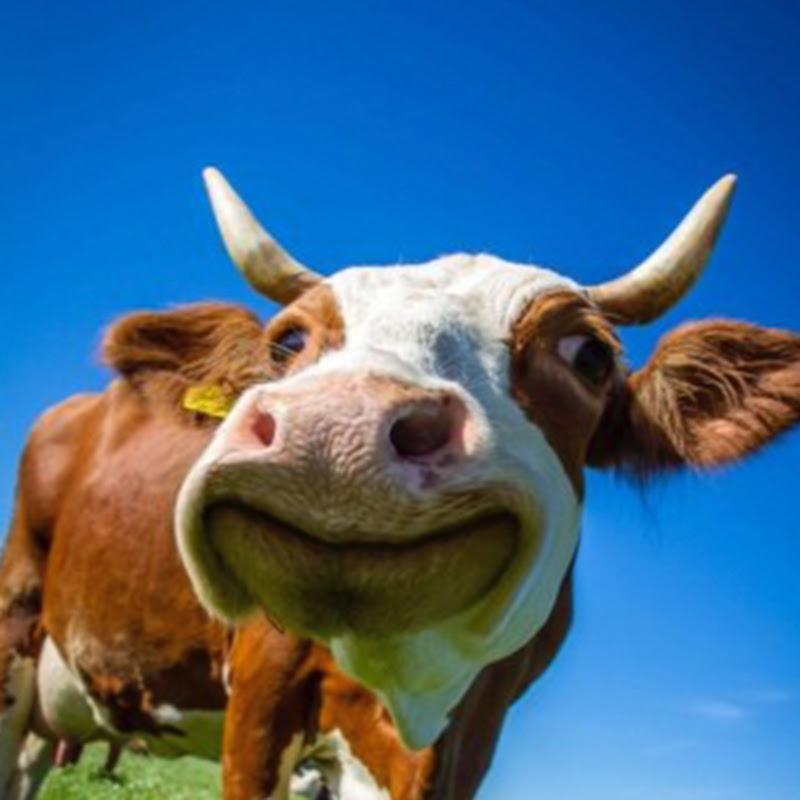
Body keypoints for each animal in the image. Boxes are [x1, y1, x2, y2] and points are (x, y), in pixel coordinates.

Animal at [1, 168, 799, 800]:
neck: (407, 691)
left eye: (589, 355)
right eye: (288, 342)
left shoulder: (474, 728)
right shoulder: (261, 694)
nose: (335, 429)